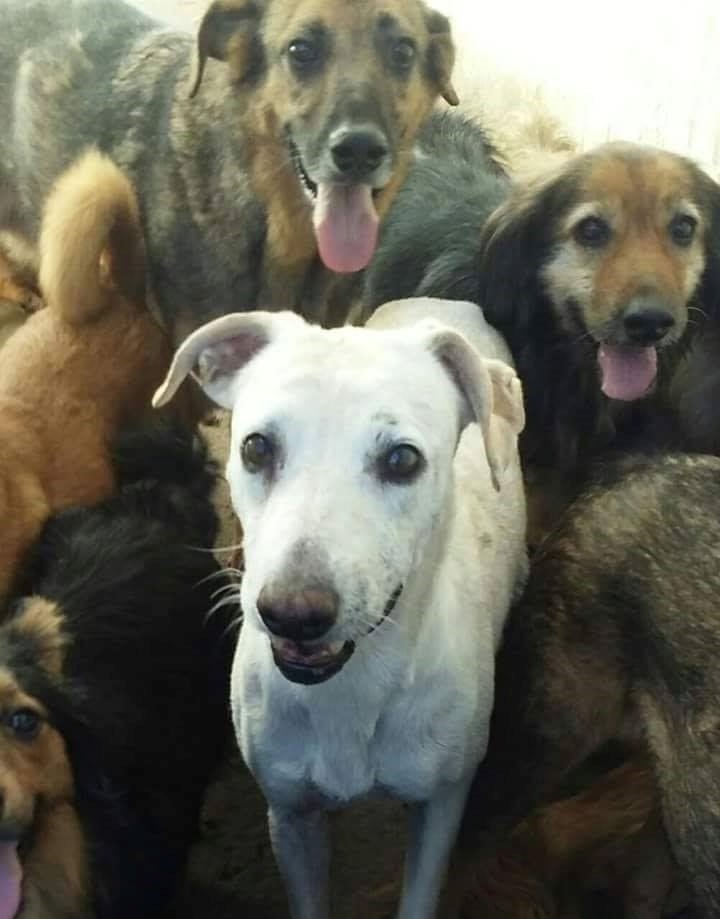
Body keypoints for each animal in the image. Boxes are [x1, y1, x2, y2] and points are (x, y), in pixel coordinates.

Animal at [153, 298, 524, 919]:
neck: (354, 687)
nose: (291, 613)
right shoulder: (291, 816)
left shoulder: (441, 807)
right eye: (255, 447)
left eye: (402, 459)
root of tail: (444, 302)